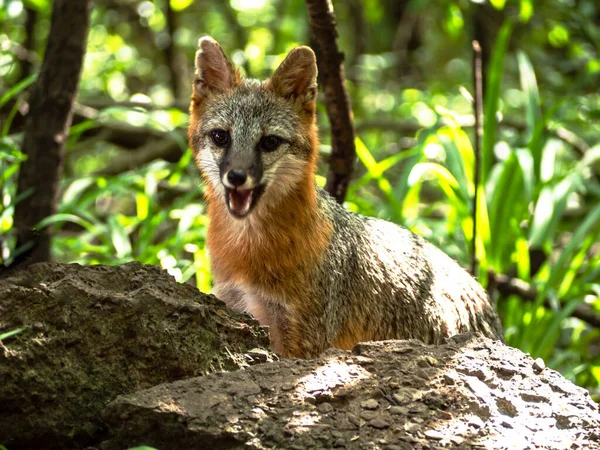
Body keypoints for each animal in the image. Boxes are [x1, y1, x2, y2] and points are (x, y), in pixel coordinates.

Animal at [186, 37, 502, 356]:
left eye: (269, 142)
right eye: (221, 137)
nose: (237, 176)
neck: (248, 251)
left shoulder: (303, 339)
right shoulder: (236, 303)